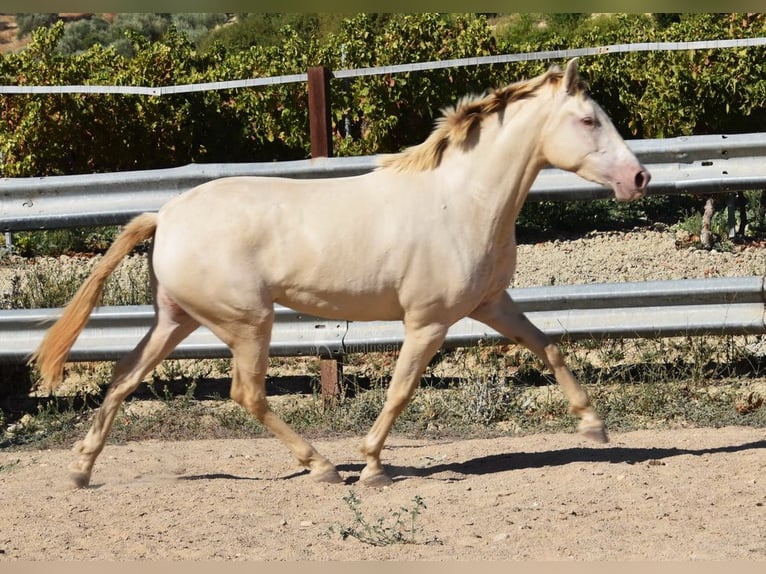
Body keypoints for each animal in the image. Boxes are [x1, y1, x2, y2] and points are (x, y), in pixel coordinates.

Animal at [31, 59, 656, 490]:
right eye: (588, 120)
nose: (640, 178)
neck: (463, 200)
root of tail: (165, 215)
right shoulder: (428, 322)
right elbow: (401, 389)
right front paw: (374, 465)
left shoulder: (491, 303)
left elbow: (548, 347)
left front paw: (594, 427)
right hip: (247, 322)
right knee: (246, 393)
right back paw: (324, 467)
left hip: (176, 320)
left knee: (122, 377)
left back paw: (81, 470)